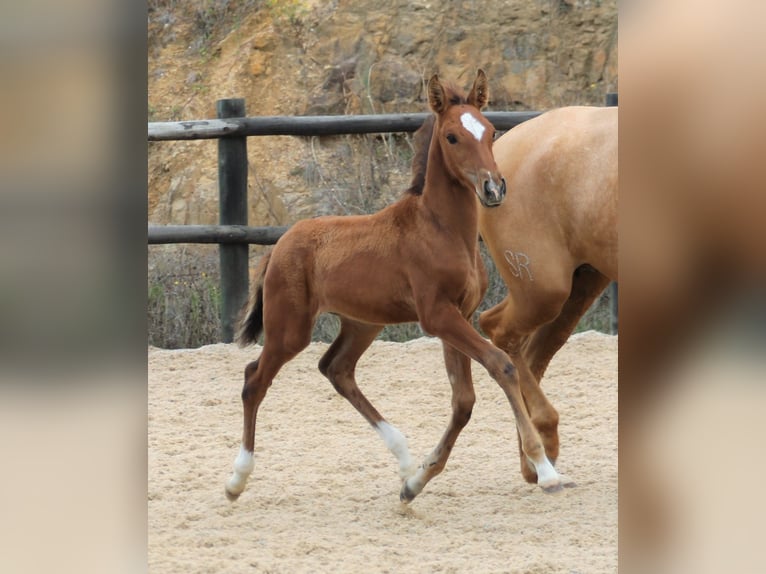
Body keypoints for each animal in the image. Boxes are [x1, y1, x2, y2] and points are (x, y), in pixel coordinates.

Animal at [225, 71, 572, 504]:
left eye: (491, 132)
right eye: (452, 137)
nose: (493, 189)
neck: (442, 230)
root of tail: (280, 246)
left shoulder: (459, 314)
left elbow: (463, 400)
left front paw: (416, 482)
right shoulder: (437, 316)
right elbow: (501, 364)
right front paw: (545, 469)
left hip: (362, 323)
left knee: (336, 369)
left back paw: (404, 460)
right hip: (290, 328)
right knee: (254, 379)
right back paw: (236, 480)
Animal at [480, 107, 616, 486]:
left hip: (581, 284)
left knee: (531, 352)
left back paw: (536, 464)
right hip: (545, 289)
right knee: (497, 330)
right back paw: (545, 449)